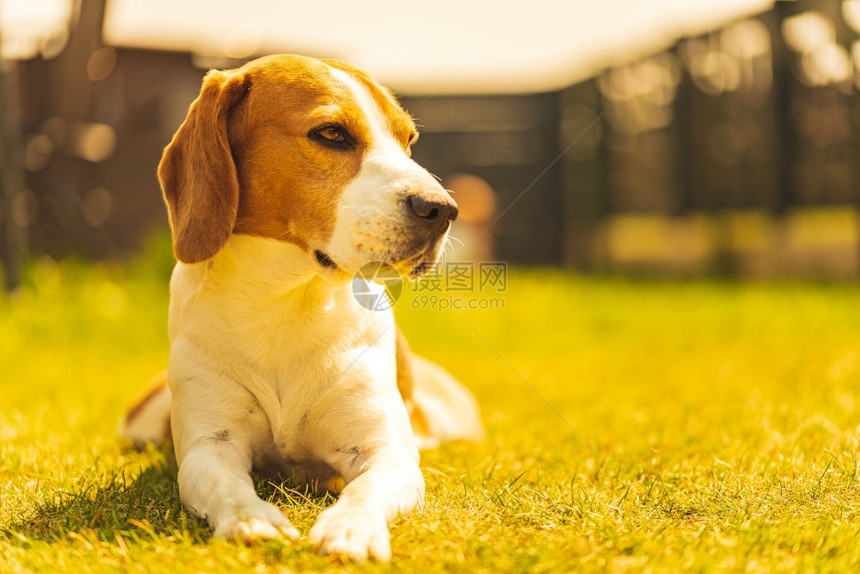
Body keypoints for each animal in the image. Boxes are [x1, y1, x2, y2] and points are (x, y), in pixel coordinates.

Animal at [119, 55, 484, 564]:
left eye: (408, 142)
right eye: (331, 133)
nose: (443, 209)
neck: (286, 304)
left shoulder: (384, 450)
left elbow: (368, 488)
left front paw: (351, 528)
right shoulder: (210, 447)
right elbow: (223, 482)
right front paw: (251, 519)